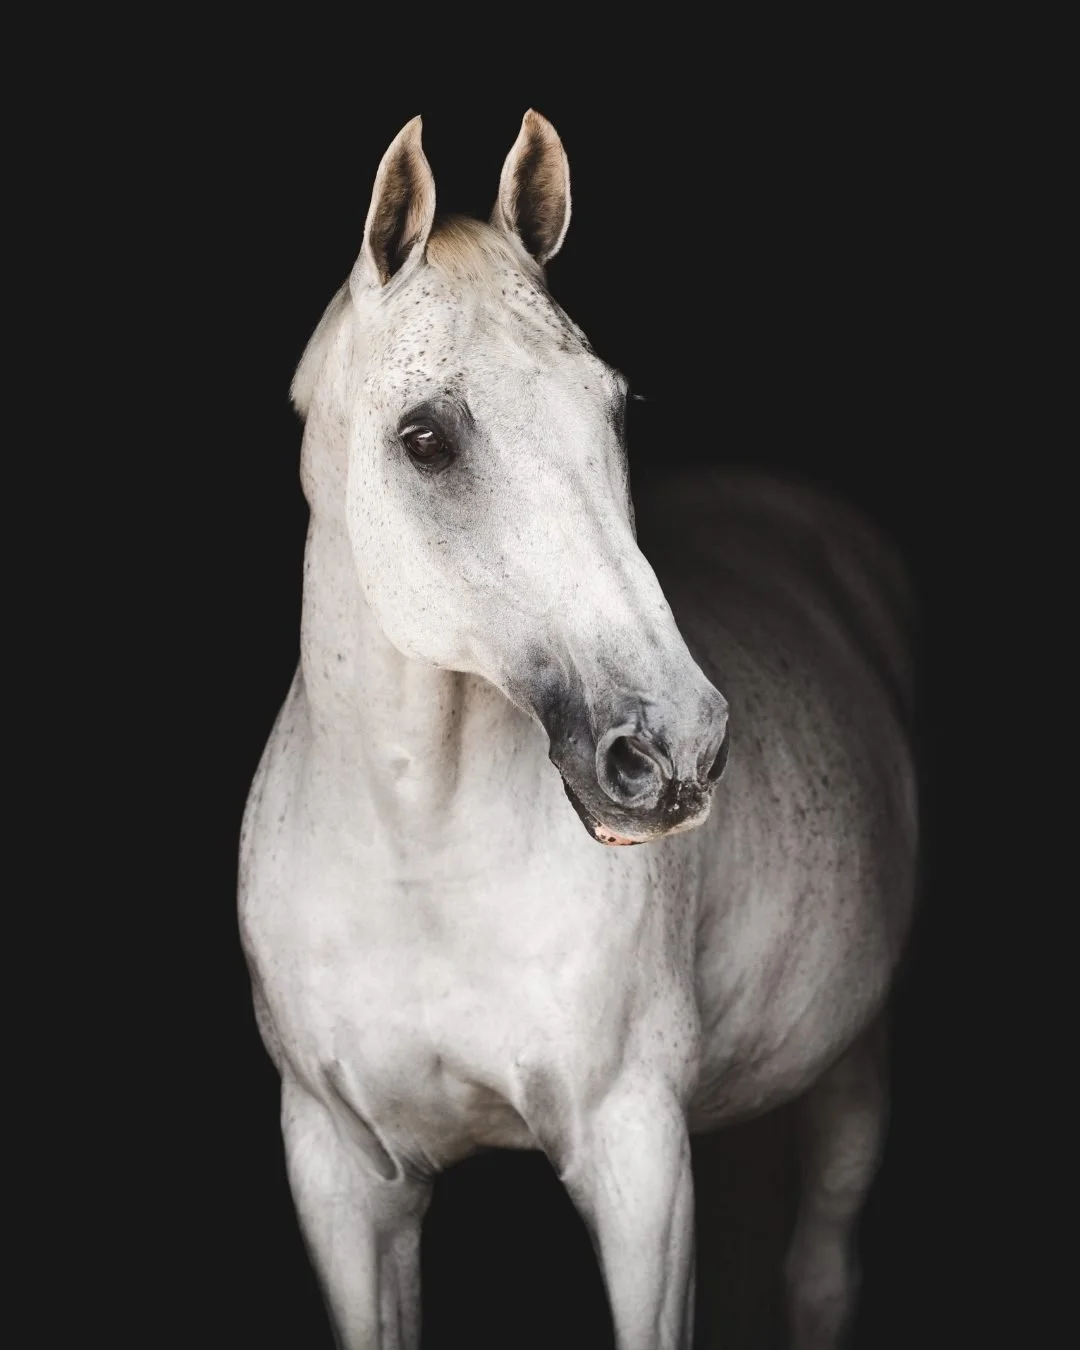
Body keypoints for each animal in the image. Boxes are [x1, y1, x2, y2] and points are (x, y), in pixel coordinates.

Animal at [238, 110, 917, 1350]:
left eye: (612, 404)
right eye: (425, 439)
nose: (676, 747)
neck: (418, 858)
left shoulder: (636, 1155)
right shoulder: (341, 1175)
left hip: (852, 1064)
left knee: (821, 1272)